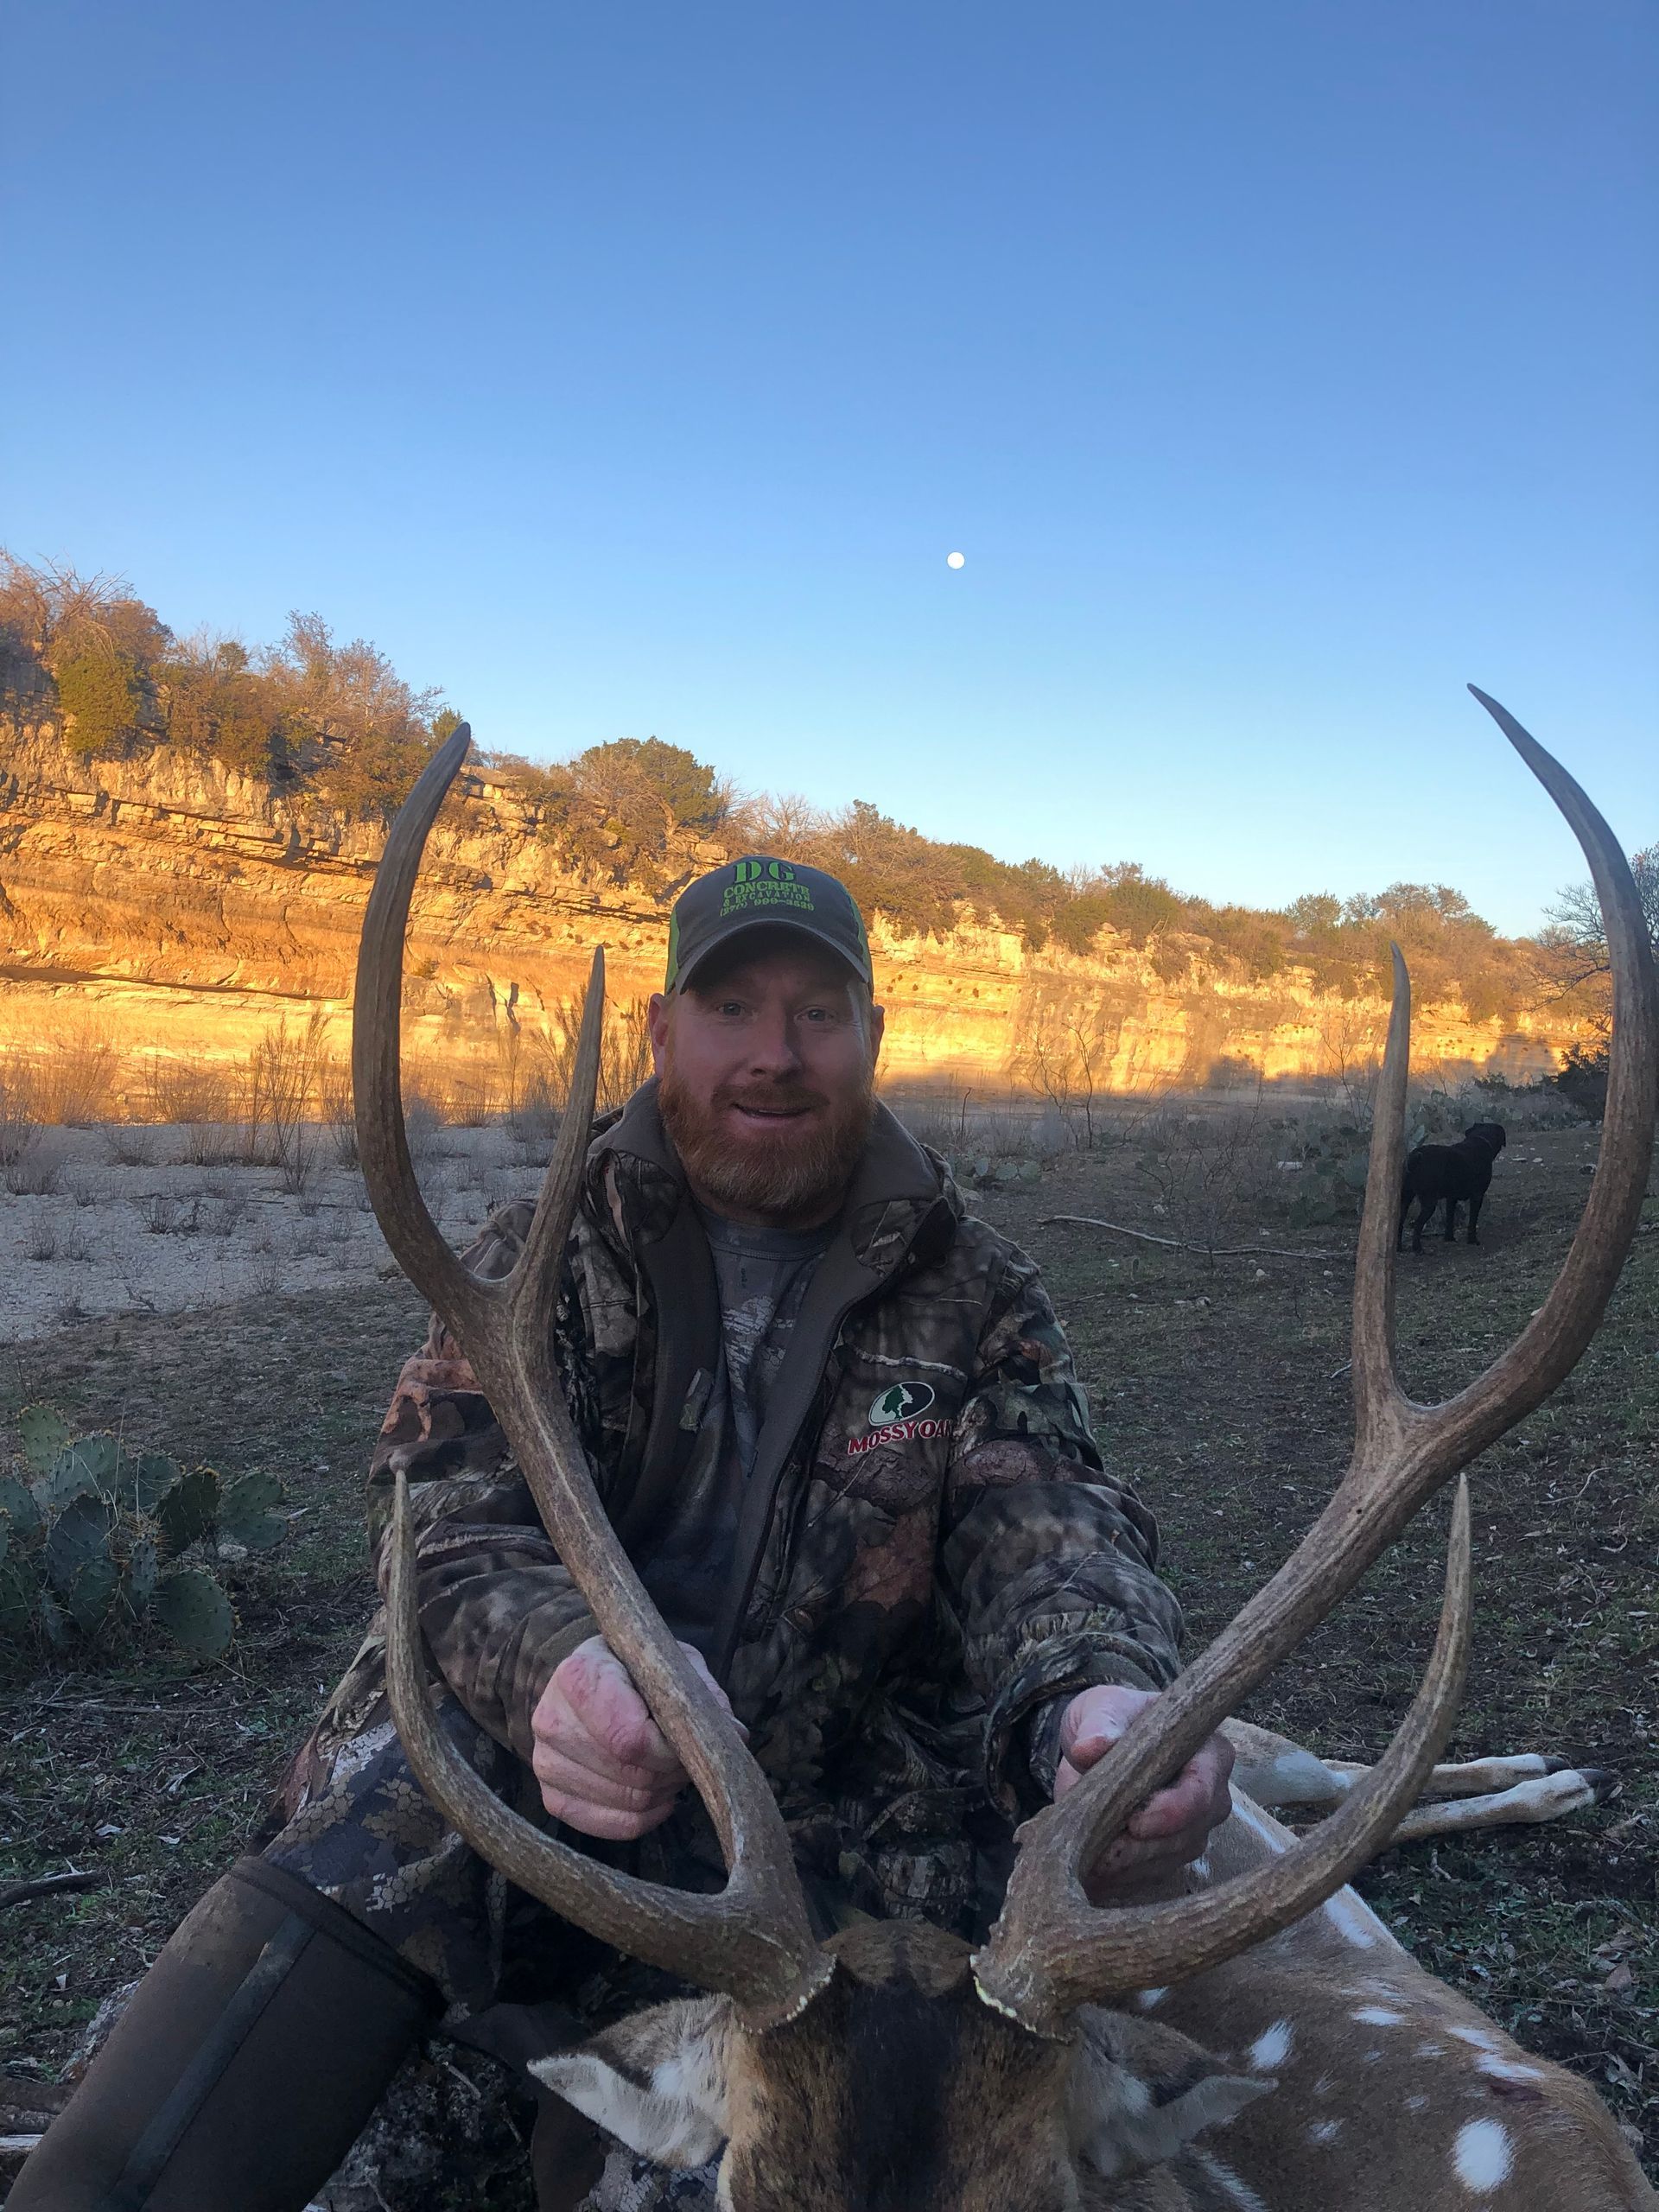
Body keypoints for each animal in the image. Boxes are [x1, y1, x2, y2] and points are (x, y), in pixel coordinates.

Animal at [351, 685, 1657, 2211]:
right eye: (739, 2189)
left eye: (1045, 2202)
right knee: (1346, 1781)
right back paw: (1550, 1776)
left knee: (1339, 1774)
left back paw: (1562, 1775)